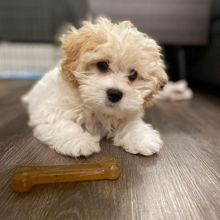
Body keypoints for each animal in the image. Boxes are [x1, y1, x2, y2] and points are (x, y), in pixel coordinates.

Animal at [22, 18, 168, 157]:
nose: (115, 94)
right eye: (102, 65)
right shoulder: (50, 110)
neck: (97, 109)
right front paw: (79, 141)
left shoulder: (129, 111)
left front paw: (141, 137)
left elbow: (131, 123)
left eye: (133, 74)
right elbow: (62, 124)